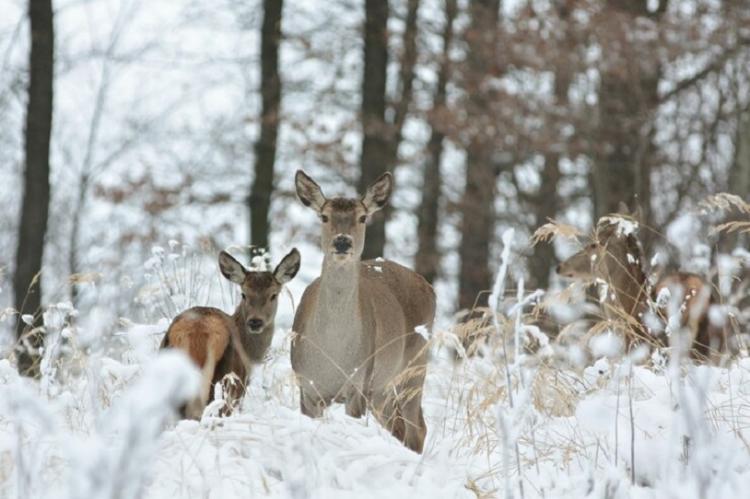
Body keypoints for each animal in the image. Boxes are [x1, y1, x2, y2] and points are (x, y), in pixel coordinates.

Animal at [160, 248, 302, 420]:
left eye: (273, 295)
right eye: (244, 294)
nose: (255, 322)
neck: (250, 355)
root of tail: (195, 331)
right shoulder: (241, 385)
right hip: (226, 380)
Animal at [292, 170, 438, 456]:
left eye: (362, 217)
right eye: (324, 216)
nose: (342, 241)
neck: (331, 353)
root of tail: (429, 286)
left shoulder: (358, 383)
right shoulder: (306, 386)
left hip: (415, 364)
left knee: (417, 428)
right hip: (382, 387)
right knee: (399, 425)